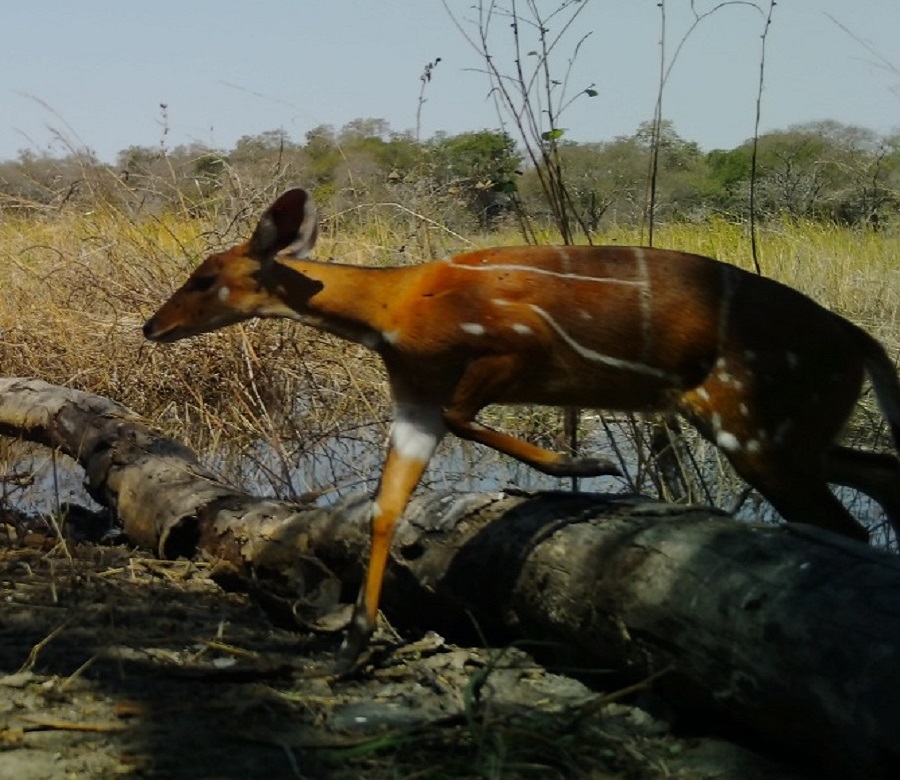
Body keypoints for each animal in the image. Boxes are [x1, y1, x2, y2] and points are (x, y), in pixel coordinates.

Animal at [144, 189, 900, 664]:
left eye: (206, 276)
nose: (151, 327)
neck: (395, 310)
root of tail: (859, 340)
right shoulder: (413, 399)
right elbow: (386, 509)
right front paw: (352, 646)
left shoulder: (512, 350)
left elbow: (465, 423)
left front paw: (588, 469)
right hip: (779, 433)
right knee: (880, 474)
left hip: (756, 430)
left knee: (845, 524)